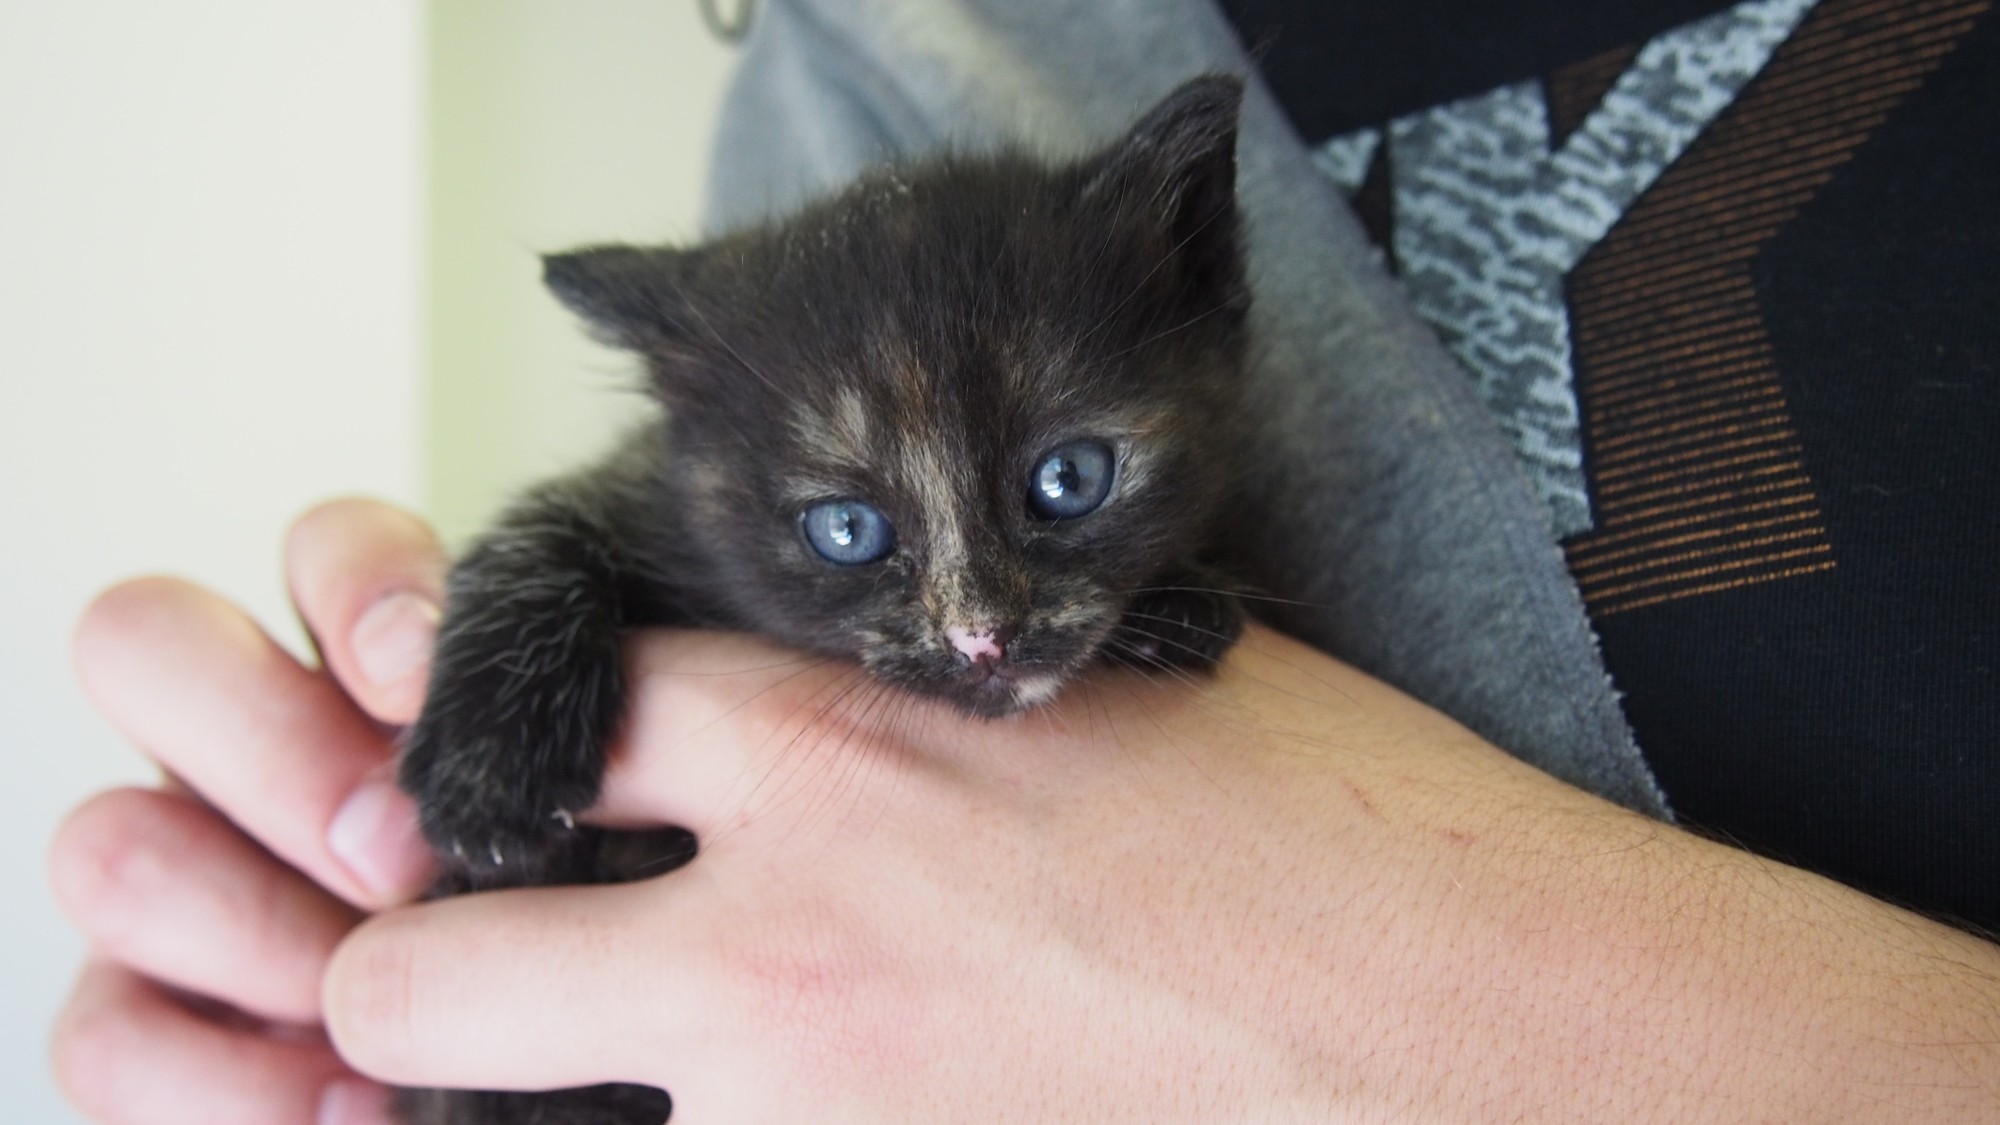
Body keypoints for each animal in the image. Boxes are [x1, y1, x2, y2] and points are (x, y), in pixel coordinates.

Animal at [396, 74, 1253, 1124]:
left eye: (1070, 478)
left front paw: (1183, 602)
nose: (983, 638)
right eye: (846, 530)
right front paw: (487, 767)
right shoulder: (643, 490)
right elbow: (542, 519)